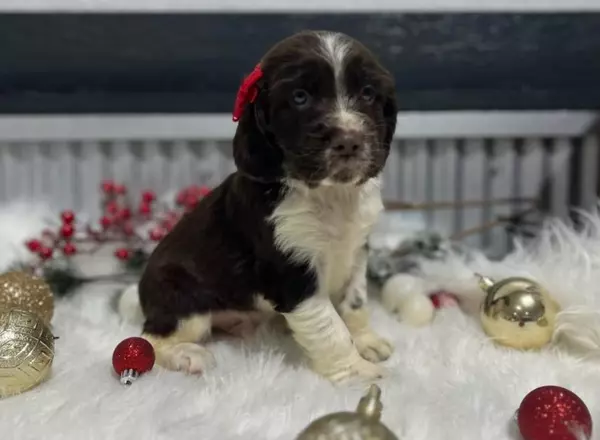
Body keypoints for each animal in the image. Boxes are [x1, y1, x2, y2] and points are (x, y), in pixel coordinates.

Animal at [137, 31, 398, 382]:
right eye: (300, 97)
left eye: (368, 93)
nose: (348, 141)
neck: (330, 194)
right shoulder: (290, 270)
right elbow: (330, 327)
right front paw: (356, 373)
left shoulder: (357, 248)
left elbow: (354, 304)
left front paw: (367, 342)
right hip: (183, 296)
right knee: (151, 337)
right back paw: (186, 354)